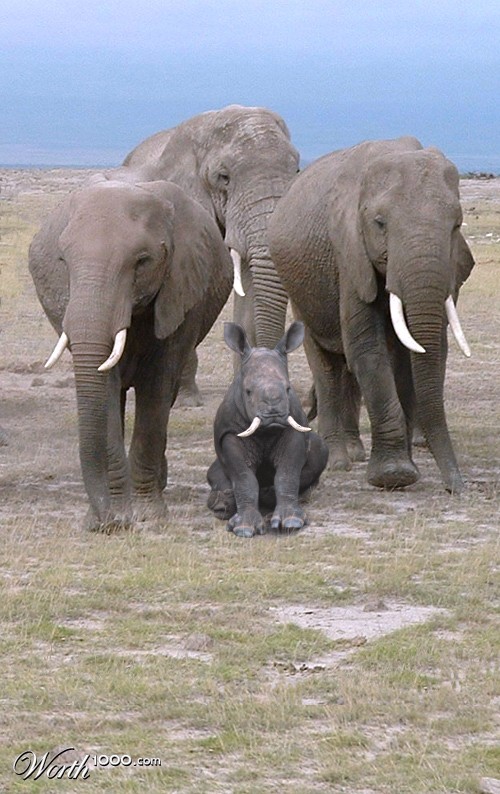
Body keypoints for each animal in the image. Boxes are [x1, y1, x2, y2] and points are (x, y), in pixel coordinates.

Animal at [29, 177, 232, 531]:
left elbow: (156, 389)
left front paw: (149, 517)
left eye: (142, 261)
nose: (104, 522)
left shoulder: (180, 293)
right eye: (63, 262)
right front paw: (118, 517)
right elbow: (105, 389)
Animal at [268, 137, 475, 493]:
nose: (457, 487)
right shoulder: (349, 253)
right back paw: (338, 461)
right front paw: (394, 476)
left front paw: (407, 469)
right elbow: (367, 348)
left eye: (457, 225)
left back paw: (353, 452)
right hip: (299, 290)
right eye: (380, 224)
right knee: (326, 365)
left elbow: (413, 355)